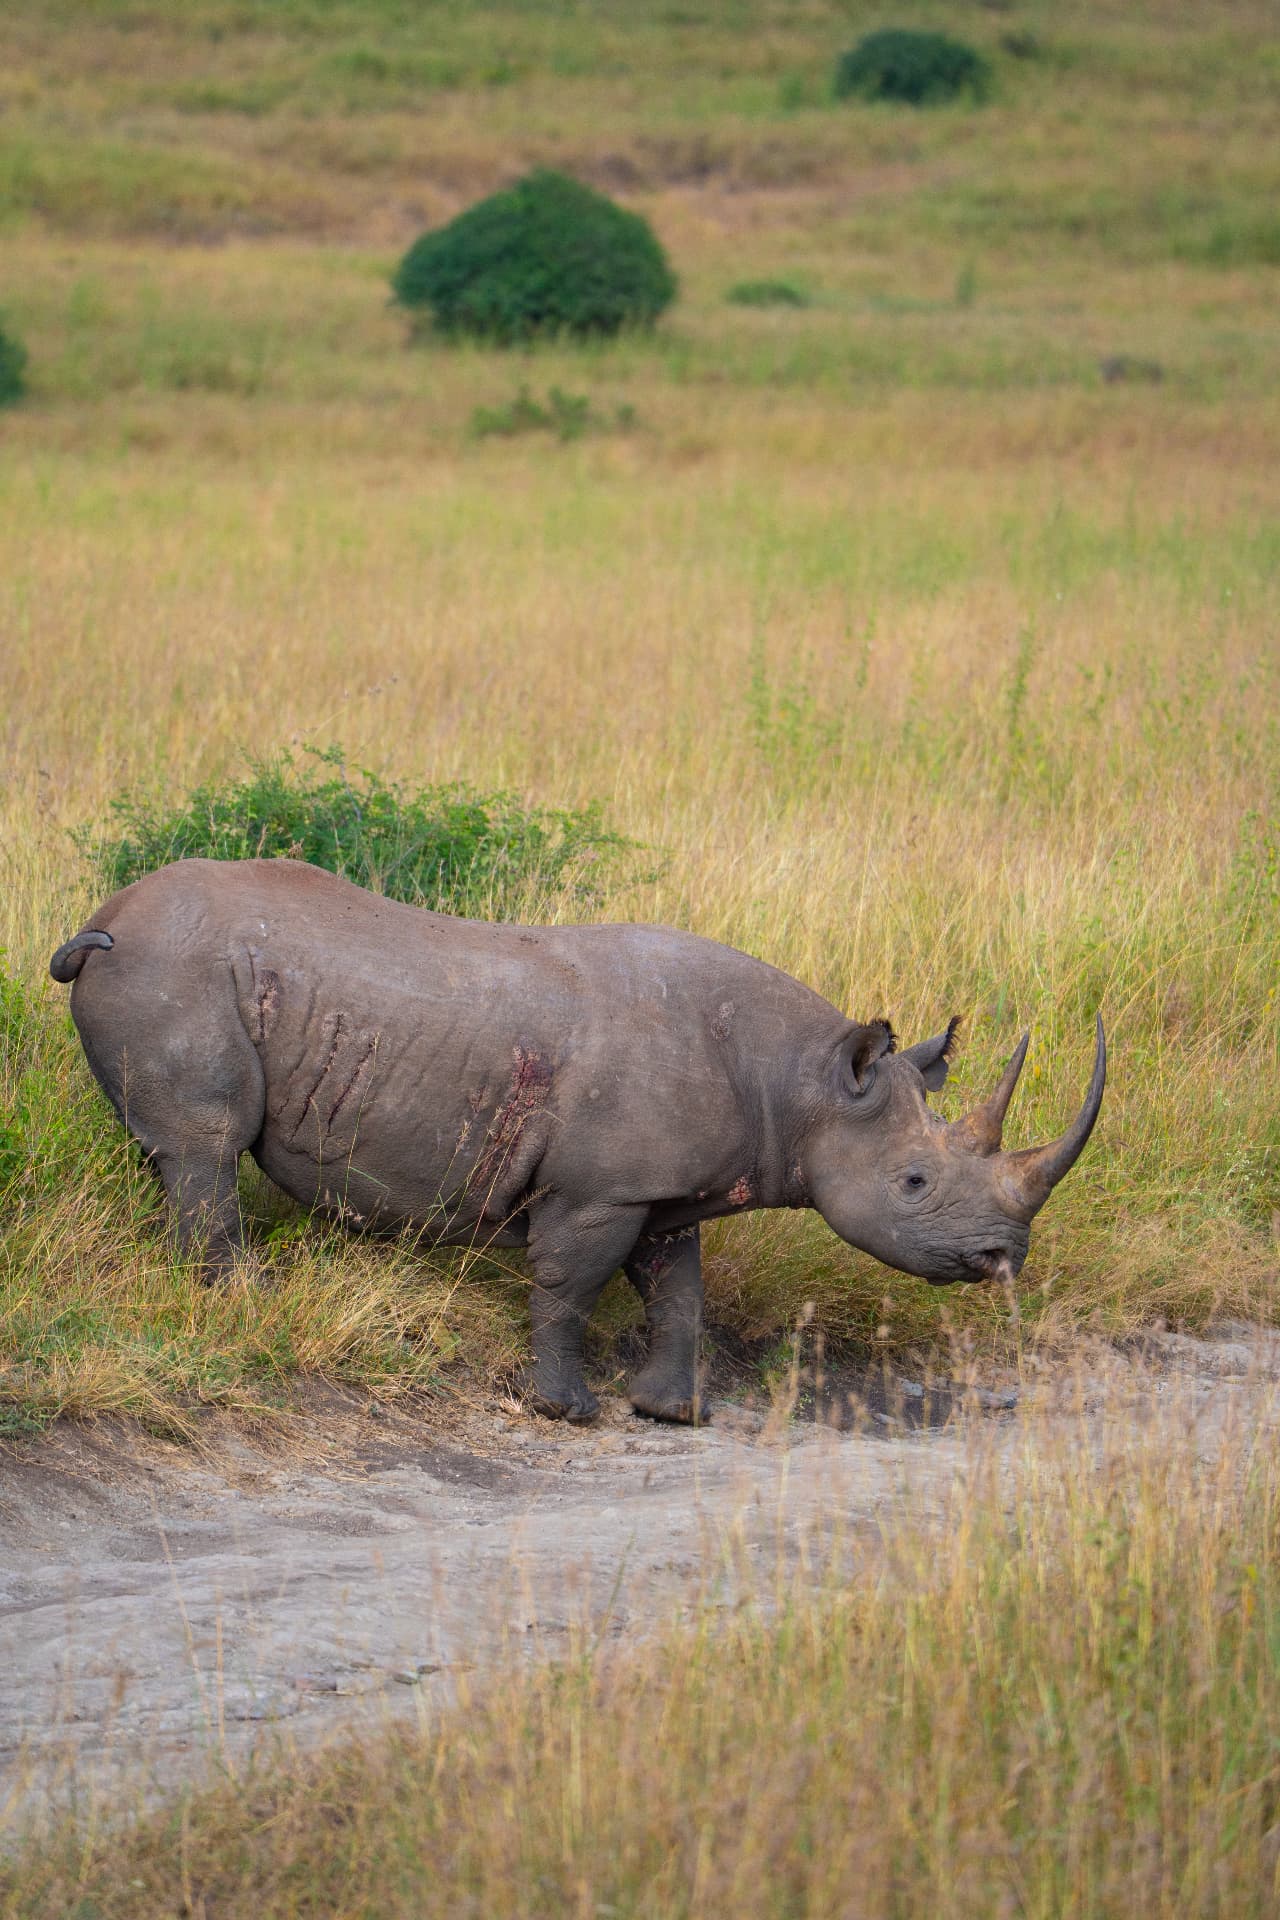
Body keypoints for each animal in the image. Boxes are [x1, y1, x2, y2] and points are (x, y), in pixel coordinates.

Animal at [50, 858, 1105, 1423]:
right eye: (916, 1181)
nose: (1002, 1258)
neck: (803, 1082)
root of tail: (100, 919)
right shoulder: (602, 1188)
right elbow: (570, 1283)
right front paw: (564, 1410)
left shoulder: (667, 1189)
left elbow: (679, 1293)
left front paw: (674, 1413)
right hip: (174, 968)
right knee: (205, 1147)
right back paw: (244, 1303)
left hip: (171, 966)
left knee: (174, 1153)